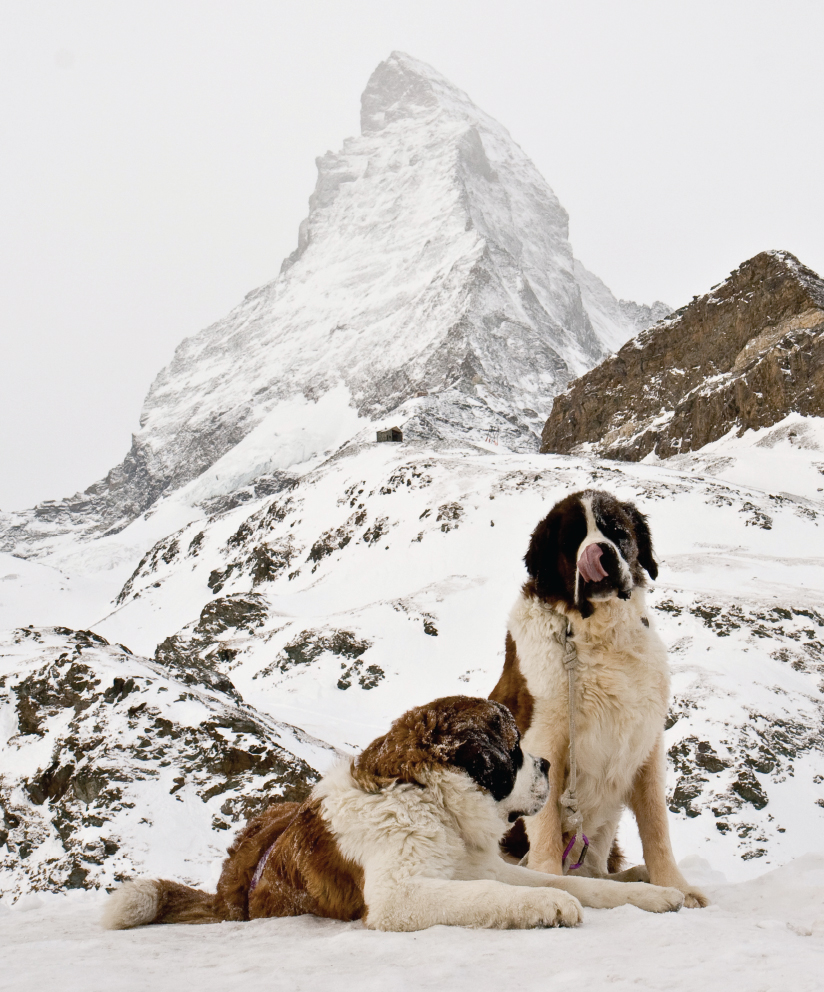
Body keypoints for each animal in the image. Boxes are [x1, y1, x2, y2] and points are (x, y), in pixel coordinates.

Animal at [101, 692, 684, 932]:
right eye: (513, 749)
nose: (544, 763)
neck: (432, 802)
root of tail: (229, 890)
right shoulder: (398, 895)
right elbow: (494, 894)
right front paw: (547, 907)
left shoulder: (477, 864)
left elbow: (577, 881)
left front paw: (652, 895)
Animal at [490, 488, 708, 908]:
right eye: (572, 540)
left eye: (617, 531)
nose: (600, 552)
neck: (599, 635)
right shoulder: (543, 739)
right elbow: (545, 827)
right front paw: (549, 879)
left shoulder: (646, 743)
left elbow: (656, 824)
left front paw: (675, 884)